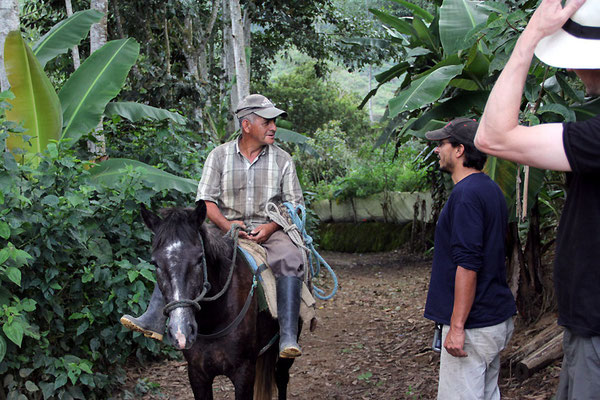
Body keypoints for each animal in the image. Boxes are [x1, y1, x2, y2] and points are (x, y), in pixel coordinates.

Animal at [141, 203, 296, 400]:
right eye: (155, 263)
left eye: (199, 259)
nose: (181, 332)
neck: (214, 318)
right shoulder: (197, 374)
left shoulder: (244, 372)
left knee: (281, 377)